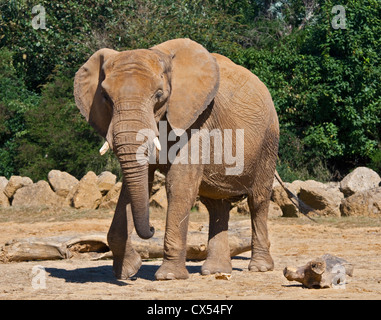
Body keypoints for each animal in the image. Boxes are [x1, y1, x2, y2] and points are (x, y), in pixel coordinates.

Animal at [72, 38, 278, 280]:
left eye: (159, 95)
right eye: (105, 98)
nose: (152, 228)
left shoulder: (197, 119)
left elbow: (178, 184)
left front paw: (169, 276)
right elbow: (137, 183)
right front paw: (127, 271)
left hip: (268, 140)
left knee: (258, 200)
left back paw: (260, 268)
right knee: (217, 205)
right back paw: (215, 271)